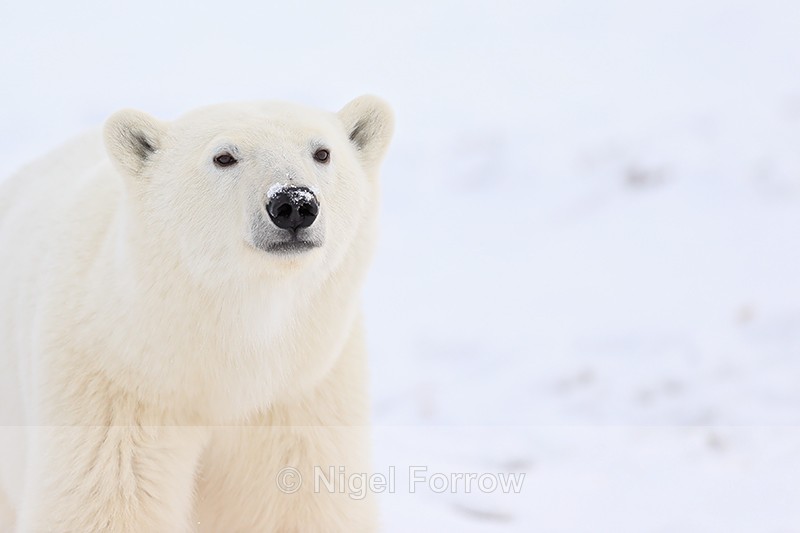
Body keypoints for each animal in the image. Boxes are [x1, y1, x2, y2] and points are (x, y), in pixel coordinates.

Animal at [0, 95, 394, 532]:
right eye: (224, 157)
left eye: (322, 152)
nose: (293, 202)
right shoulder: (116, 384)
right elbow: (109, 501)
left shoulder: (300, 390)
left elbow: (296, 500)